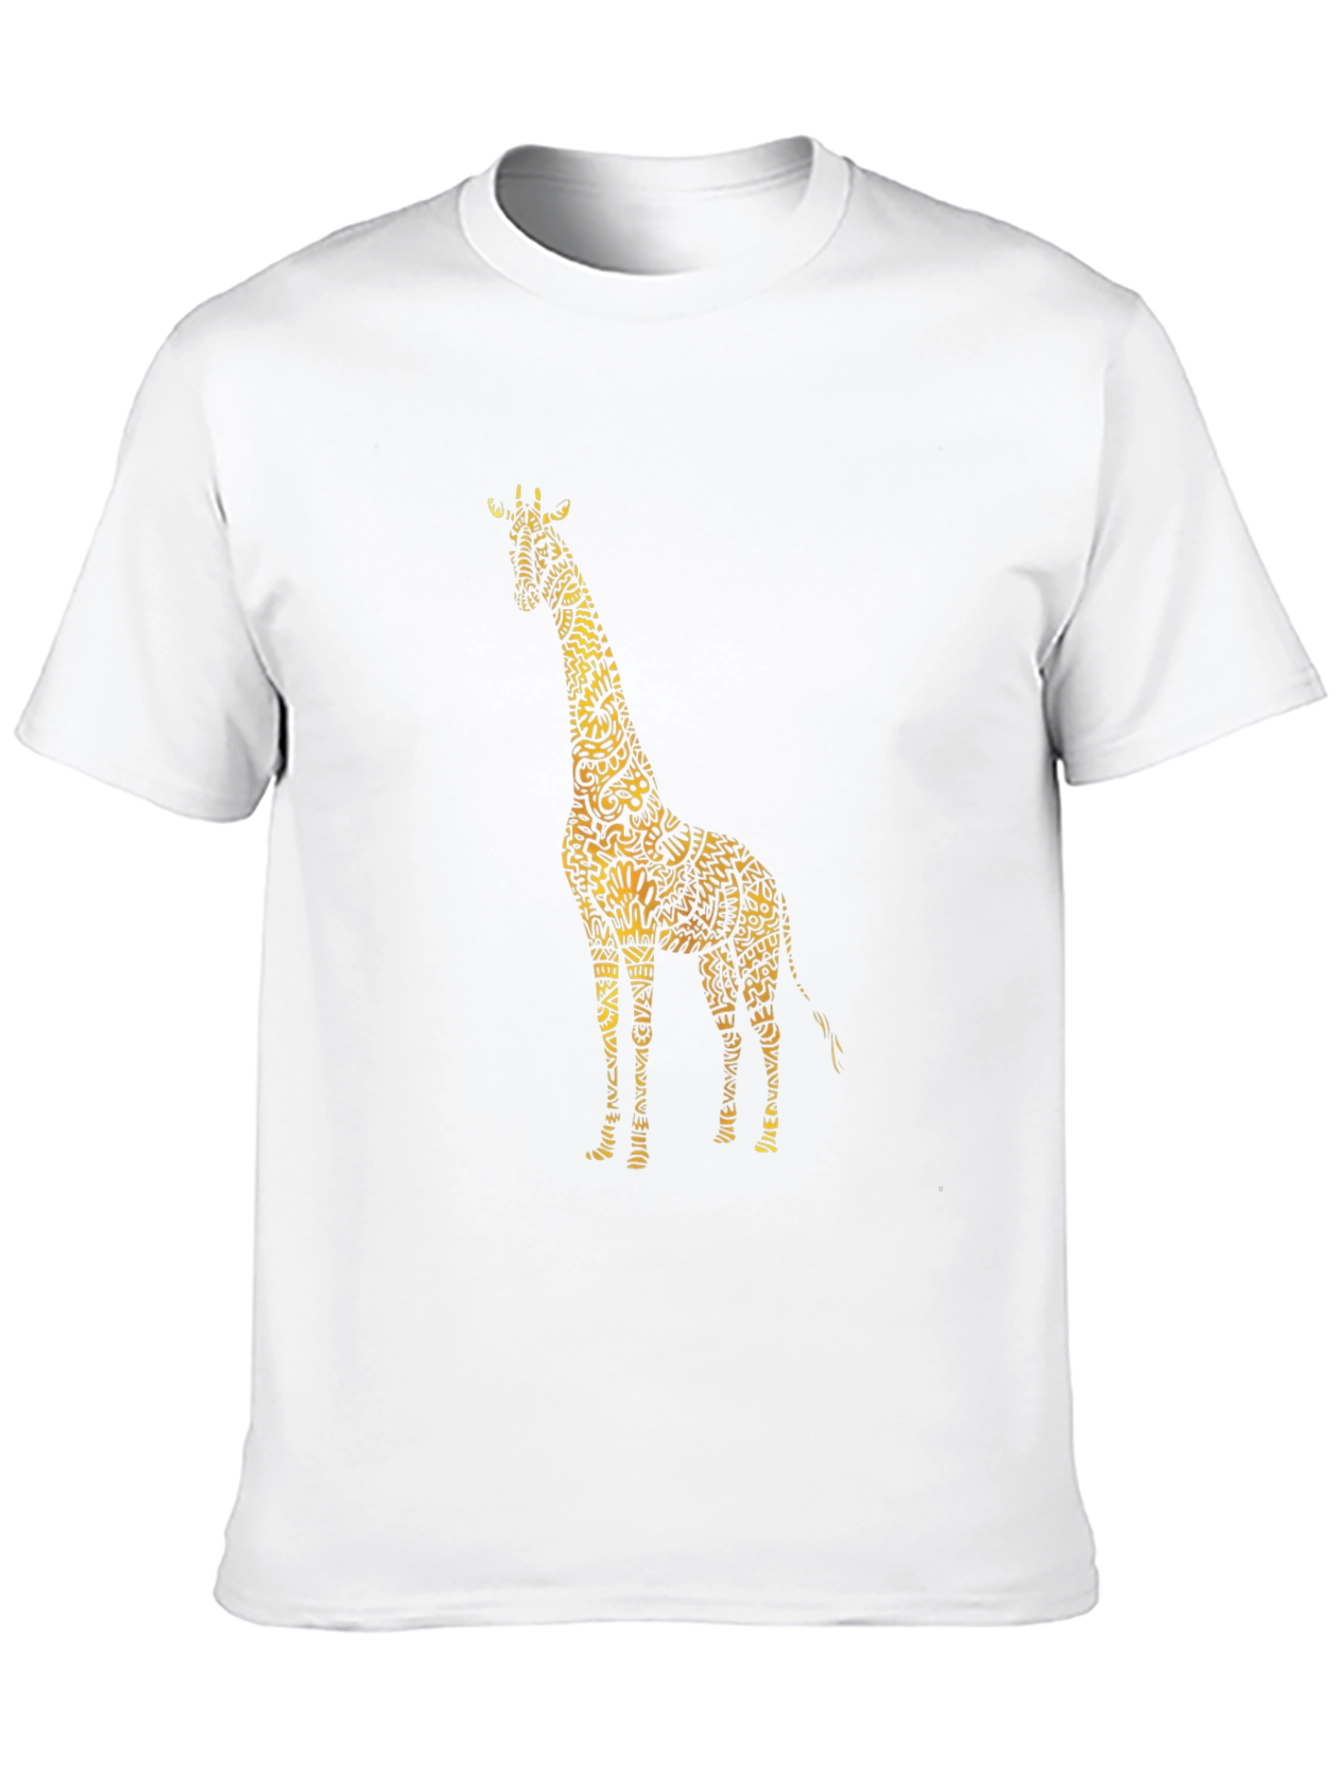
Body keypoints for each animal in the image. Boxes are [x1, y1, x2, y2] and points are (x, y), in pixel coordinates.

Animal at [488, 486, 842, 1169]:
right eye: (508, 544)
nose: (520, 595)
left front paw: (639, 1148)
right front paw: (604, 1140)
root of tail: (779, 889)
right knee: (733, 1033)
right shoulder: (595, 924)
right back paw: (725, 1132)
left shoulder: (637, 929)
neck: (597, 779)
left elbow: (641, 1028)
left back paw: (767, 1137)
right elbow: (607, 1026)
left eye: (544, 546)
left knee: (772, 1031)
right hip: (715, 959)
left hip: (756, 953)